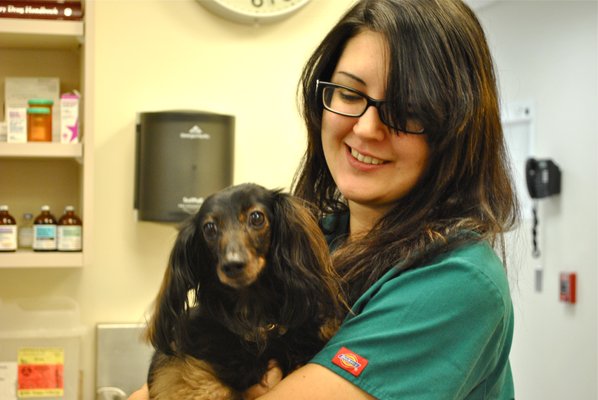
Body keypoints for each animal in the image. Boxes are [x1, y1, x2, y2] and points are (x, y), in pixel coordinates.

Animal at [145, 183, 346, 398]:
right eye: (209, 228)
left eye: (257, 217)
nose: (232, 265)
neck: (255, 321)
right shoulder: (183, 374)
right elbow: (214, 387)